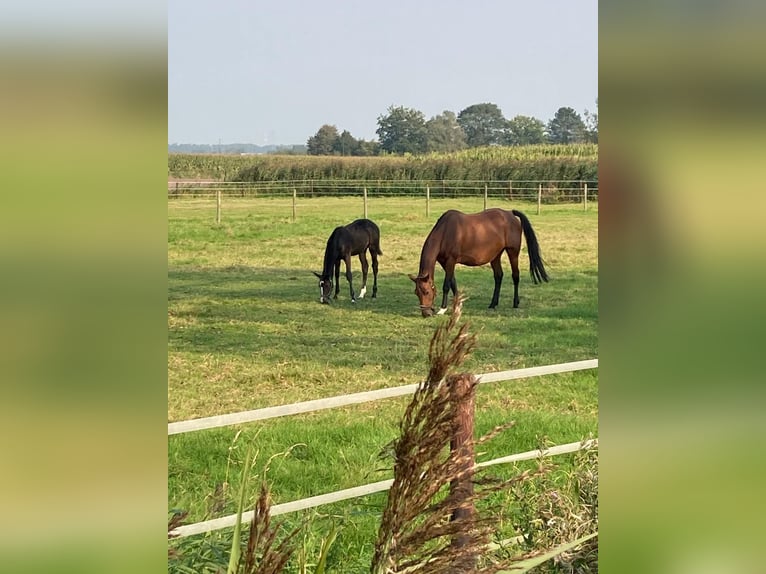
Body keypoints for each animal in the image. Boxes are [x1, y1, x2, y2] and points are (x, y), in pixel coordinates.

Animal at [412, 210, 548, 320]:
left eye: (426, 292)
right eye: (416, 292)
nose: (426, 314)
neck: (446, 232)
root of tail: (510, 213)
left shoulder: (451, 260)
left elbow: (446, 285)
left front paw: (443, 309)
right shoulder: (444, 263)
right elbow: (453, 282)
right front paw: (457, 305)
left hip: (513, 252)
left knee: (515, 276)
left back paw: (515, 303)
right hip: (495, 256)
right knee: (498, 276)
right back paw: (493, 304)